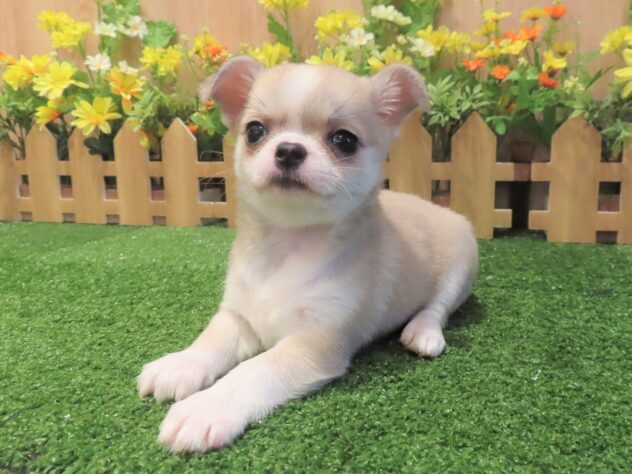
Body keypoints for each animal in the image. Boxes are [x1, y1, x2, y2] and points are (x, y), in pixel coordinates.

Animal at [137, 57, 478, 452]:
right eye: (254, 131)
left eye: (344, 140)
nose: (288, 149)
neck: (288, 245)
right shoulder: (238, 316)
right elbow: (212, 340)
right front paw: (181, 364)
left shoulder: (314, 342)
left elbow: (254, 370)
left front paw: (206, 408)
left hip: (461, 260)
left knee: (438, 307)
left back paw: (422, 332)